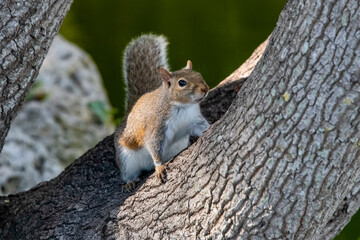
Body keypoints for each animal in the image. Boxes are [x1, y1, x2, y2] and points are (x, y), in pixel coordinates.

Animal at [114, 33, 210, 192]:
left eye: (199, 74)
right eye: (182, 83)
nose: (205, 89)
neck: (182, 107)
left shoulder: (194, 120)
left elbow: (202, 127)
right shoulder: (156, 126)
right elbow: (153, 144)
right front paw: (159, 168)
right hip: (126, 158)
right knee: (128, 172)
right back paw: (130, 182)